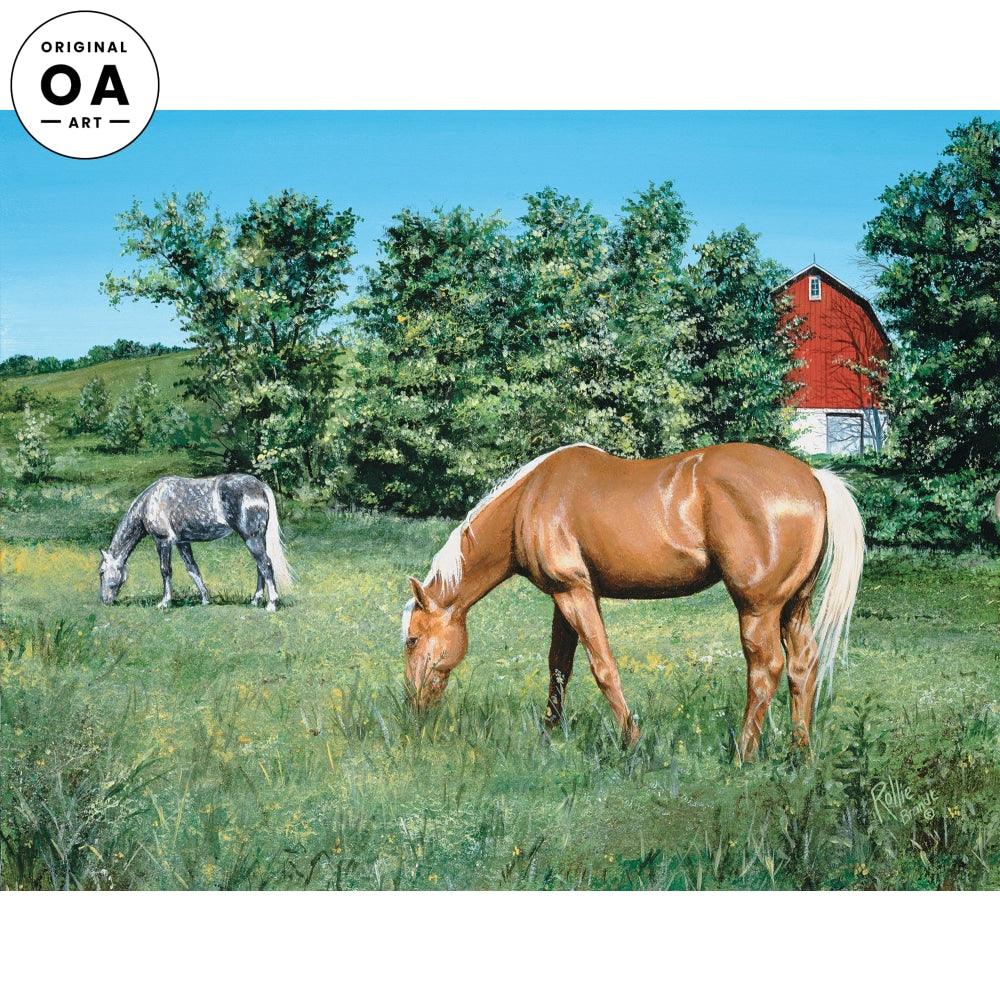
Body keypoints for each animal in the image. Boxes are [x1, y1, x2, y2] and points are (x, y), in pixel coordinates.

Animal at [99, 473, 293, 611]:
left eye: (101, 572)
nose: (104, 600)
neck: (150, 501)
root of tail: (260, 485)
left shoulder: (163, 541)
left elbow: (165, 570)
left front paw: (164, 602)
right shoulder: (182, 542)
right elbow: (193, 569)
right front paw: (205, 599)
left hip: (251, 538)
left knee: (265, 564)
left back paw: (271, 604)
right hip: (257, 539)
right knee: (260, 567)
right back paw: (255, 600)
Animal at [401, 442, 864, 761]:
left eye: (411, 640)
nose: (412, 707)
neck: (531, 498)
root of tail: (813, 477)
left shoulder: (575, 593)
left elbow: (603, 667)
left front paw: (632, 741)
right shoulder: (564, 598)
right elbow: (559, 668)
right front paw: (548, 736)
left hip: (758, 609)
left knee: (766, 670)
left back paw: (743, 757)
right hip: (795, 606)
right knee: (803, 666)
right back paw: (800, 754)